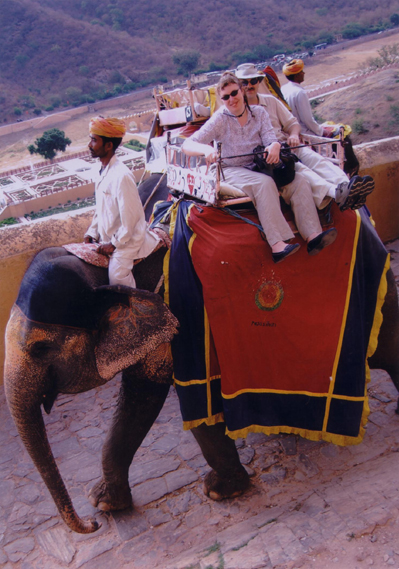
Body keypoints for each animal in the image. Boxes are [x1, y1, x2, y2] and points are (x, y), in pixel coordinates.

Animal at [3, 174, 399, 532]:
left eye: (39, 347)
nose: (91, 526)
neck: (101, 266)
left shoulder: (183, 310)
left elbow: (167, 396)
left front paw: (219, 492)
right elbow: (140, 396)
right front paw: (104, 502)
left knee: (387, 348)